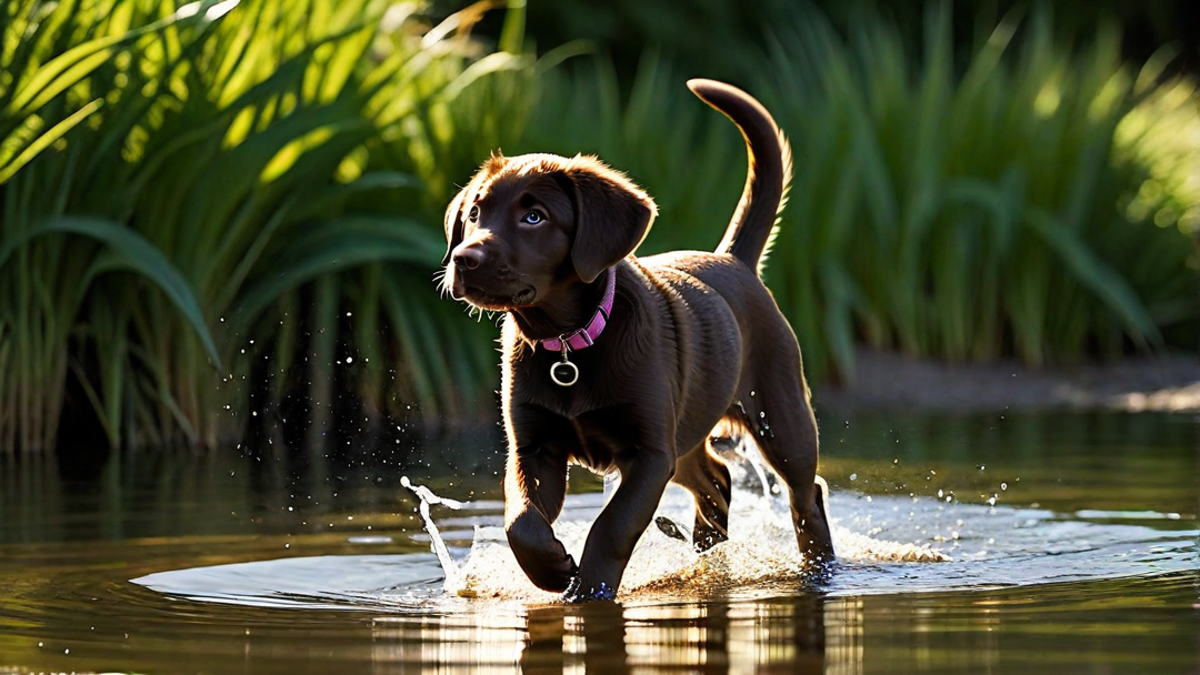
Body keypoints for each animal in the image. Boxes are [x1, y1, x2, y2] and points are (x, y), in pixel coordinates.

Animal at [439, 78, 835, 598]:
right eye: (475, 213)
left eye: (535, 218)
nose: (463, 258)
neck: (567, 342)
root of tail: (734, 260)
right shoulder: (534, 447)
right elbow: (520, 518)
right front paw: (552, 568)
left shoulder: (648, 453)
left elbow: (614, 525)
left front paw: (590, 587)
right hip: (686, 431)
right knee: (717, 479)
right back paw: (709, 551)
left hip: (779, 413)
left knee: (805, 493)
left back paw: (820, 566)